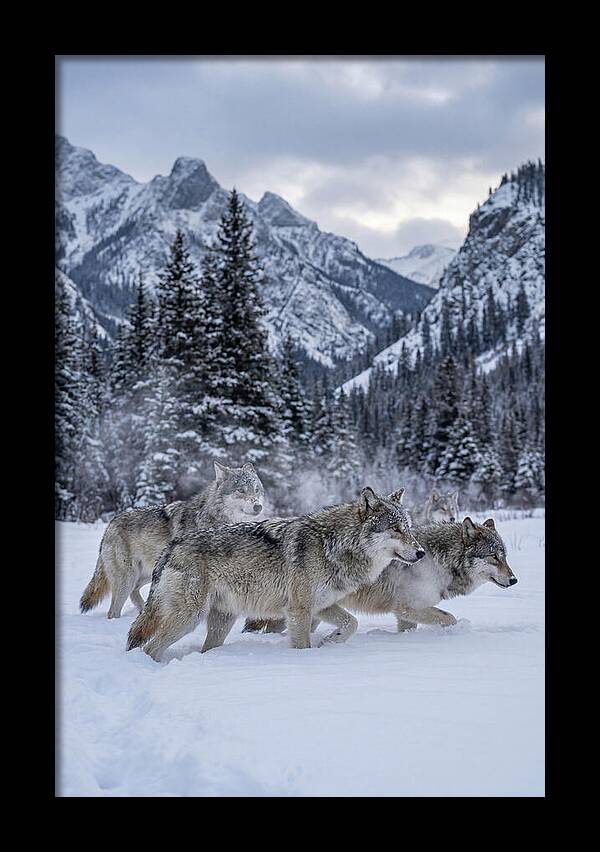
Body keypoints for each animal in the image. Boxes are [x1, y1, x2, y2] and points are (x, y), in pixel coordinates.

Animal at [79, 461, 265, 619]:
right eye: (241, 490)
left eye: (256, 489)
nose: (258, 506)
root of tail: (111, 523)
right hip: (128, 578)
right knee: (113, 611)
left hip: (148, 574)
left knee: (135, 593)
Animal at [126, 487, 425, 661]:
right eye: (395, 529)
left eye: (408, 528)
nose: (421, 552)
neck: (334, 544)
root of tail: (172, 546)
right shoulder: (299, 610)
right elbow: (303, 645)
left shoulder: (322, 605)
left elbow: (351, 622)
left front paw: (331, 641)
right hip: (189, 618)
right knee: (149, 647)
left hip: (221, 620)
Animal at [245, 516, 516, 636]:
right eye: (494, 557)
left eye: (505, 556)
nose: (514, 580)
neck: (439, 560)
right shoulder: (407, 607)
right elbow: (449, 618)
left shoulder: (406, 614)